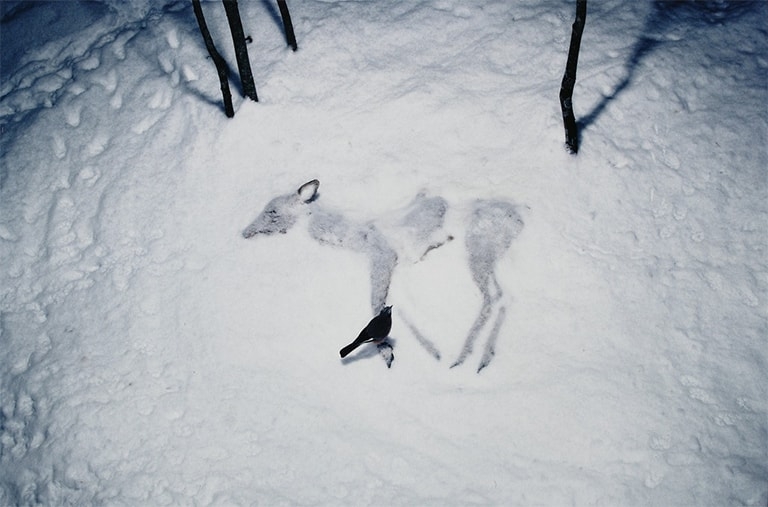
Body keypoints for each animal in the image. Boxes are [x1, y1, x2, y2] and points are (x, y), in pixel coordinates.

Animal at [243, 180, 524, 374]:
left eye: (273, 211)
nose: (246, 232)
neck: (350, 238)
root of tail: (519, 216)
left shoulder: (383, 256)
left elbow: (375, 302)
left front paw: (389, 354)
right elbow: (395, 309)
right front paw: (430, 351)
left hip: (478, 246)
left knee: (493, 296)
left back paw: (467, 358)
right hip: (487, 253)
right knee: (504, 295)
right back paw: (477, 358)